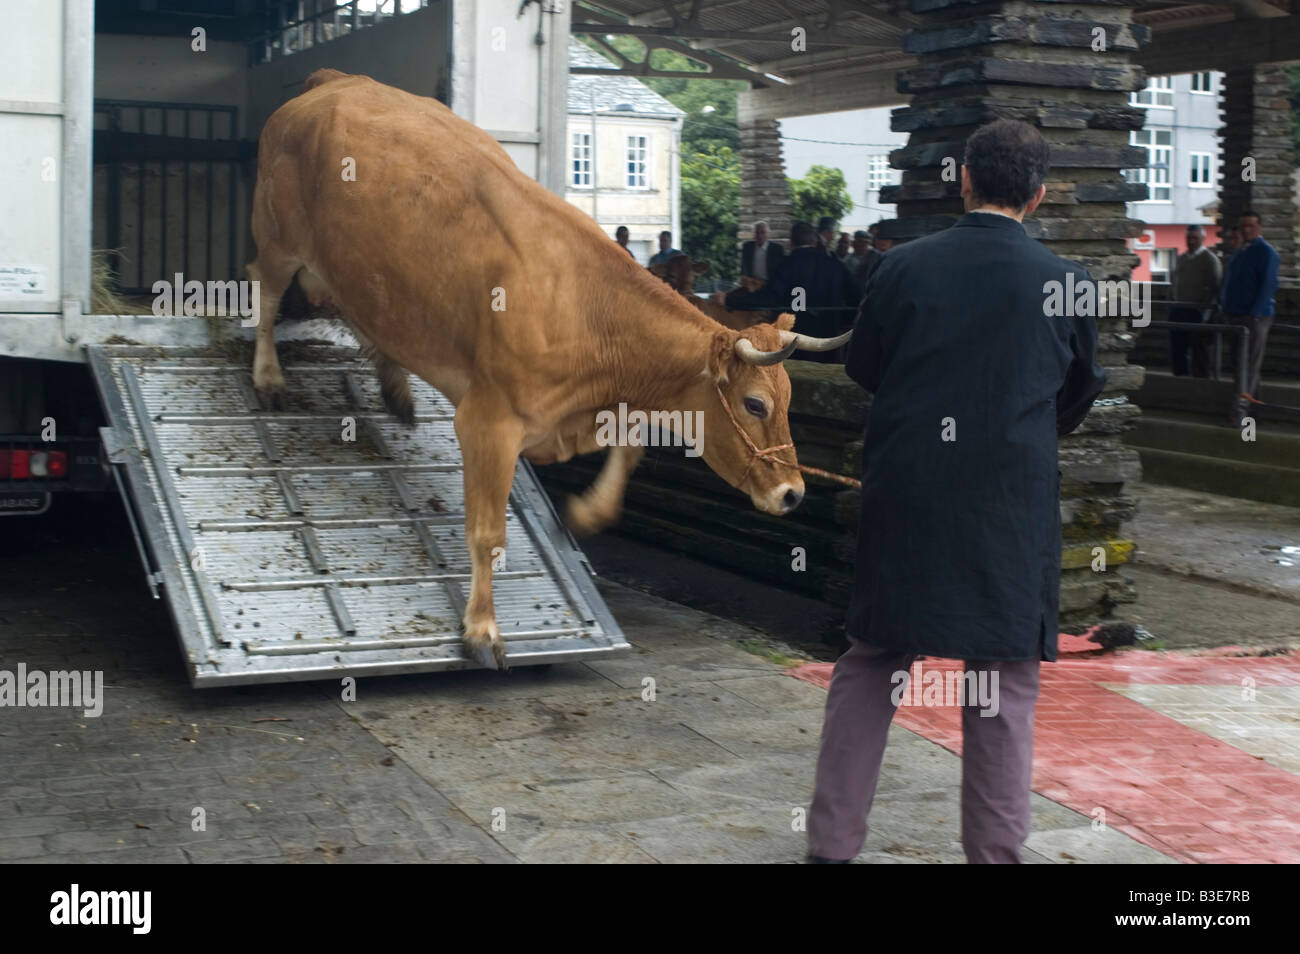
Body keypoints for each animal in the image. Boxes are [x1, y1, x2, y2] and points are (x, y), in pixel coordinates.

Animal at [246, 70, 847, 670]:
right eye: (754, 403)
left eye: (789, 402)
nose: (793, 493)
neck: (587, 310)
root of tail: (338, 80)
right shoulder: (488, 422)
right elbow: (487, 533)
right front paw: (481, 630)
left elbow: (630, 448)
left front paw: (586, 513)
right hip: (278, 235)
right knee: (265, 289)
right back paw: (269, 378)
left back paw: (396, 388)